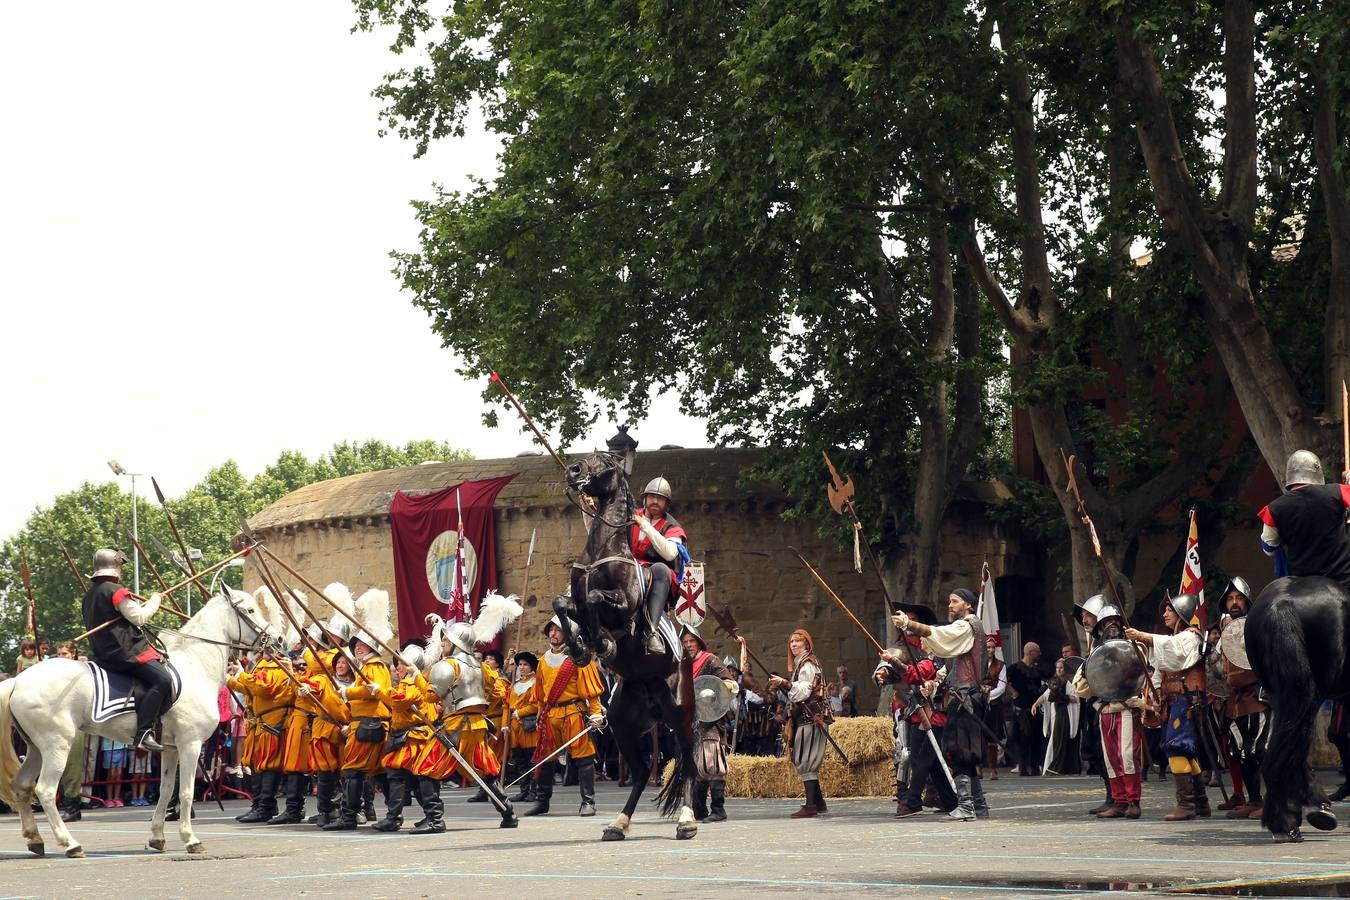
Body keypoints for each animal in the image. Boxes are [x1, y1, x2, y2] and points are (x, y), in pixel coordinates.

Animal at [0, 588, 284, 858]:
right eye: (250, 610)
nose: (279, 640)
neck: (196, 666)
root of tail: (18, 680)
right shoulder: (189, 744)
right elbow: (187, 791)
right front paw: (191, 839)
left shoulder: (170, 748)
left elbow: (167, 790)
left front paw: (158, 837)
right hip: (56, 745)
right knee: (45, 790)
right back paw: (70, 844)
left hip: (36, 748)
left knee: (23, 786)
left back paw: (35, 840)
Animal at [550, 453, 696, 841]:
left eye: (602, 461)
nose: (573, 471)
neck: (603, 549)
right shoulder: (573, 600)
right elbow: (563, 603)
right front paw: (582, 646)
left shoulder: (621, 605)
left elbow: (597, 601)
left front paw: (599, 640)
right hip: (623, 724)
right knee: (643, 771)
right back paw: (619, 823)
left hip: (681, 713)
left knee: (689, 764)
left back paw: (687, 820)